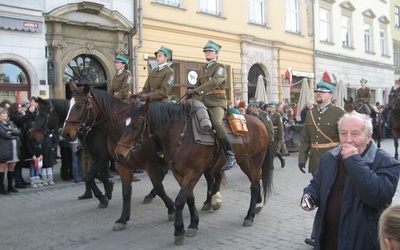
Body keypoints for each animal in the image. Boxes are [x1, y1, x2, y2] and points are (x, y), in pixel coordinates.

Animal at [114, 98, 274, 245]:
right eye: (123, 124)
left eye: (135, 126)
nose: (119, 154)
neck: (181, 134)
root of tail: (258, 120)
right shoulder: (179, 174)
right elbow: (189, 199)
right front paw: (193, 224)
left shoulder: (193, 173)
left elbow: (180, 200)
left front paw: (179, 230)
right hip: (244, 163)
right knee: (254, 183)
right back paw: (257, 205)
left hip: (254, 162)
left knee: (254, 186)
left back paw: (249, 216)